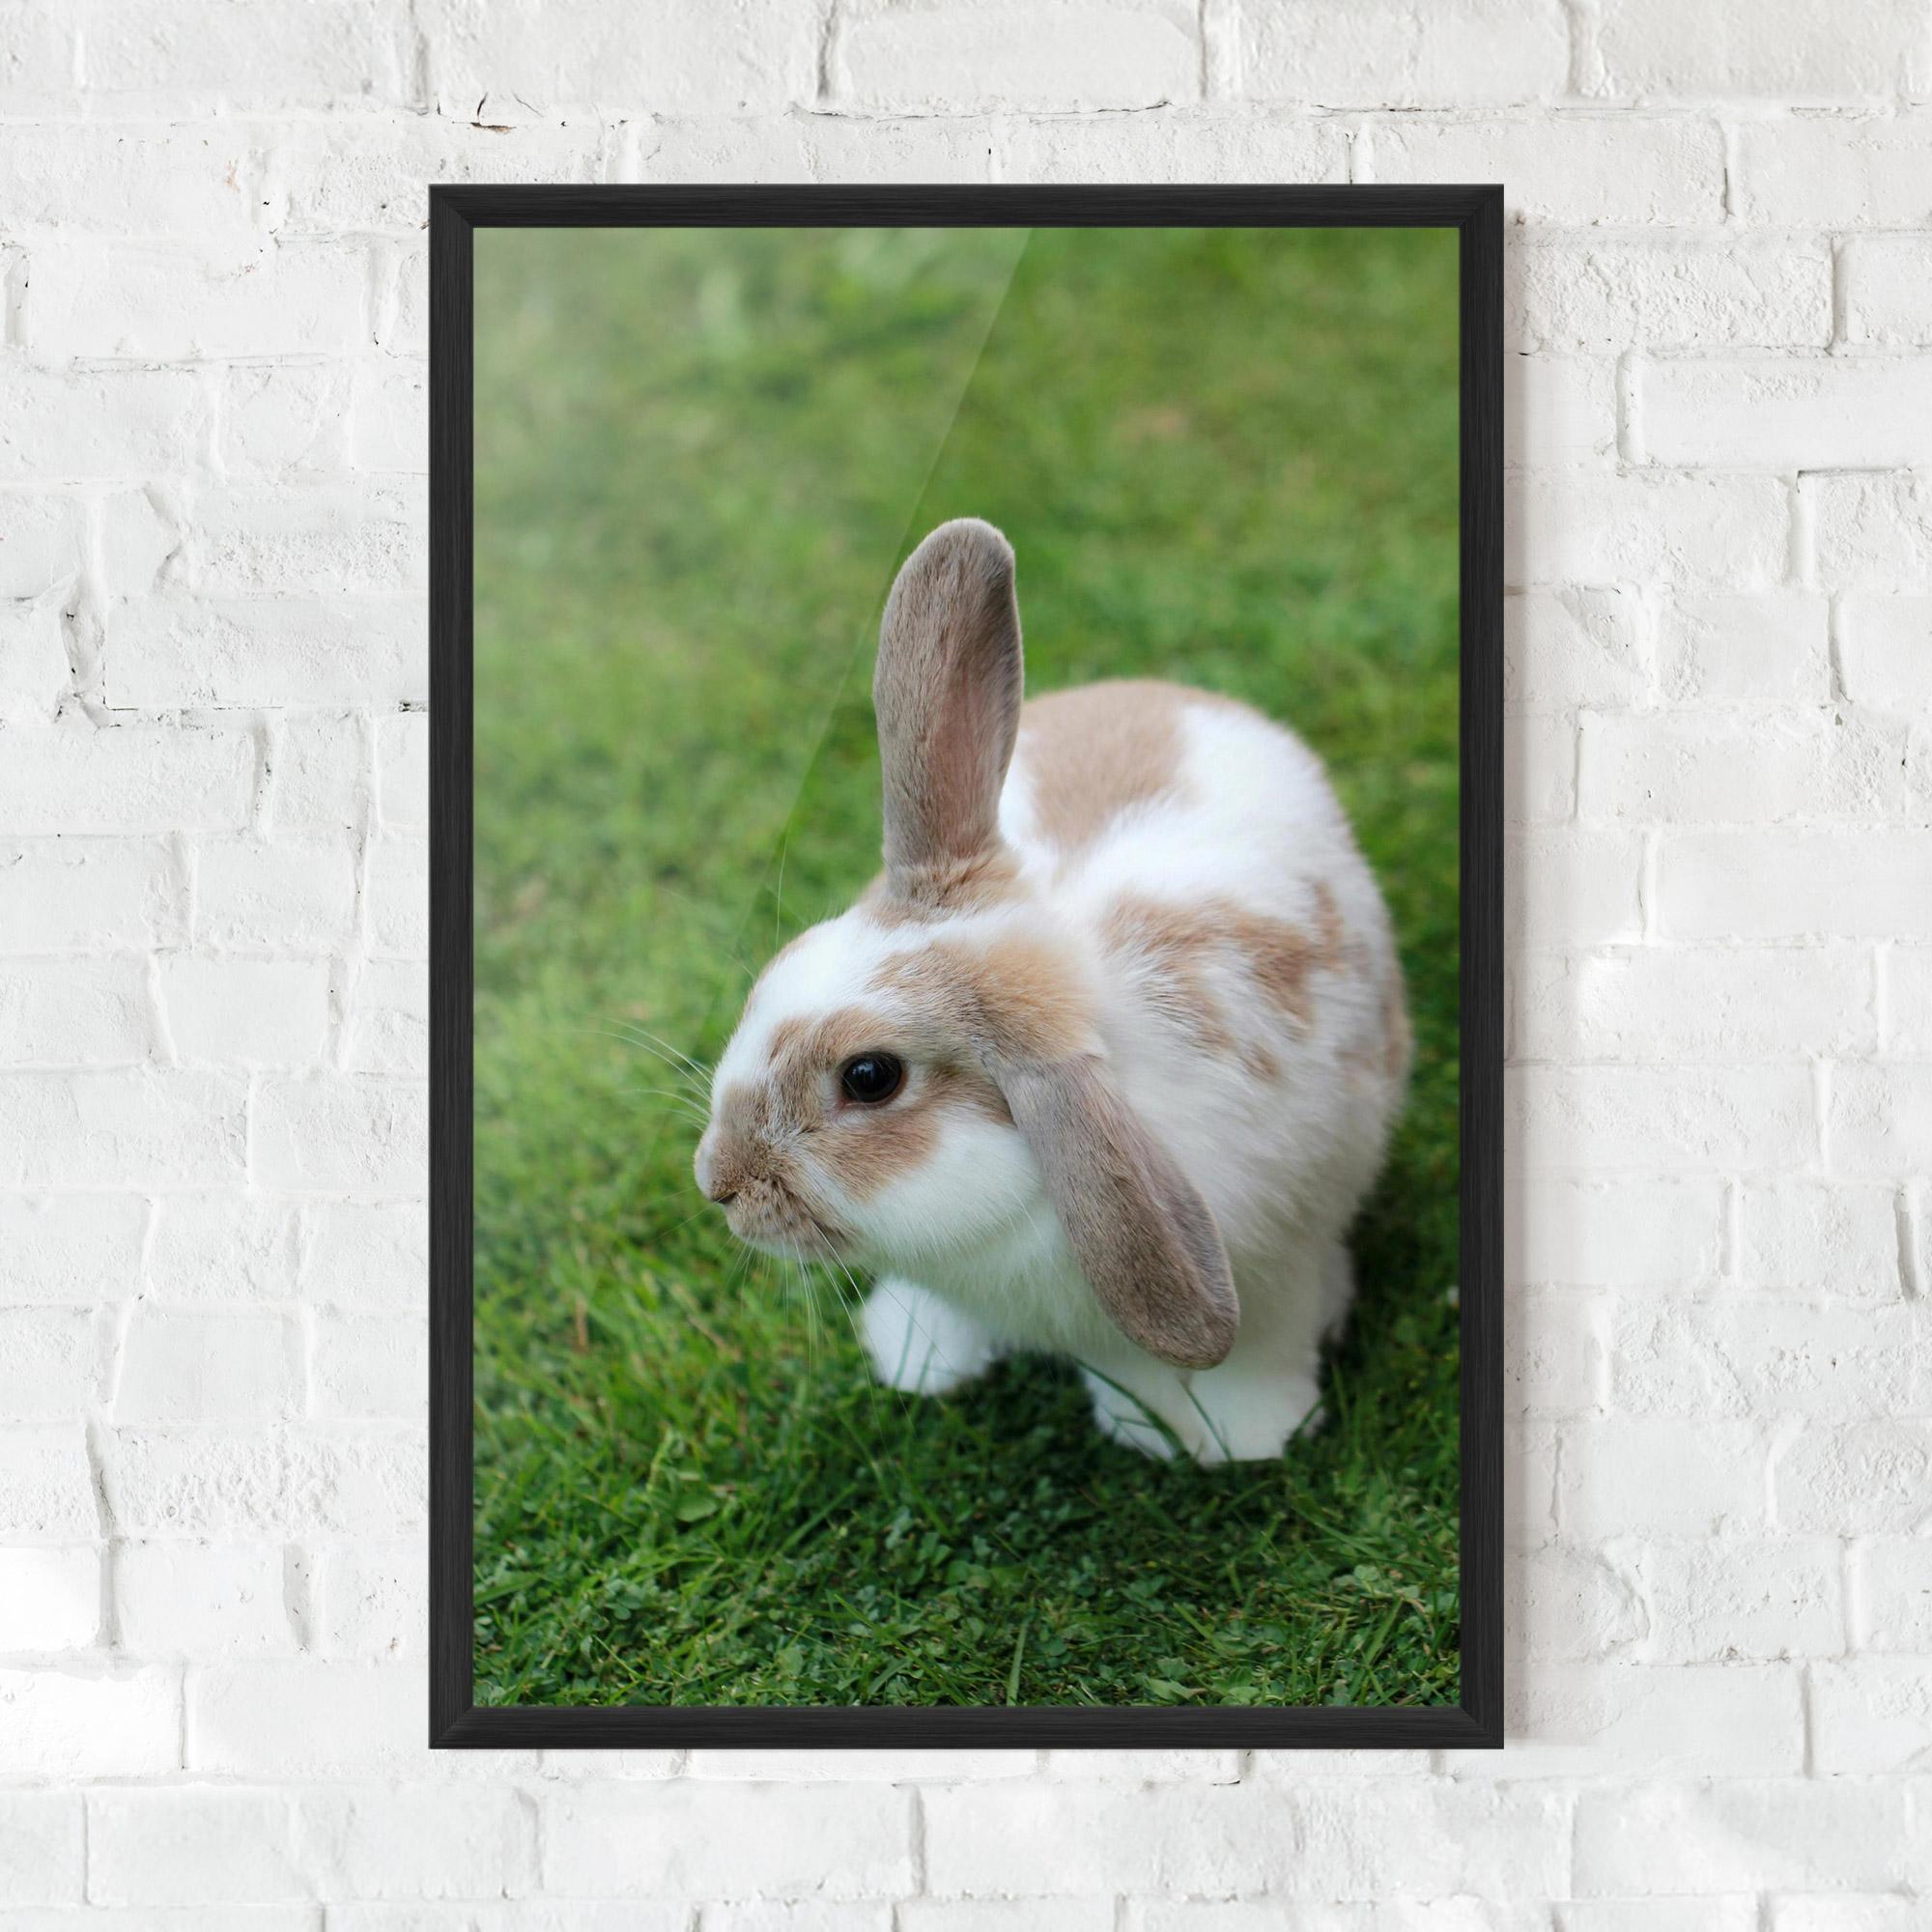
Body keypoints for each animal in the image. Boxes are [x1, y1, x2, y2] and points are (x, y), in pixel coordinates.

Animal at [694, 518, 1411, 1464]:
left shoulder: (1273, 1268)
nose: (718, 1182)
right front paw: (917, 1357)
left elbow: (1255, 1353)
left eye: (870, 1078)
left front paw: (1244, 1436)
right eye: (783, 966)